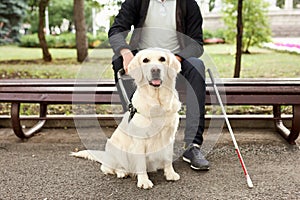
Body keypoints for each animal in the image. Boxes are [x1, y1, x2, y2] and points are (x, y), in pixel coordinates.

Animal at [71, 48, 182, 189]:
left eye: (162, 59)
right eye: (145, 60)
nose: (155, 70)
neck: (157, 102)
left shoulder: (169, 136)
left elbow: (167, 158)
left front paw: (170, 174)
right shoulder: (139, 140)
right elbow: (140, 163)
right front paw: (144, 181)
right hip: (115, 149)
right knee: (108, 168)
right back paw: (122, 172)